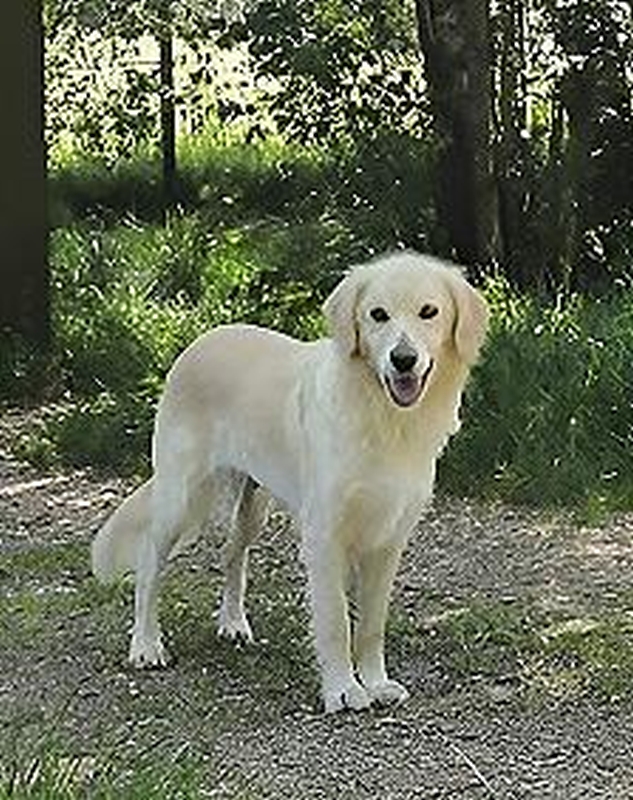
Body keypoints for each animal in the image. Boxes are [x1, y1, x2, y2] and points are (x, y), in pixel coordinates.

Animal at [92, 250, 488, 712]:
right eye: (378, 315)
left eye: (429, 312)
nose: (403, 359)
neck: (381, 415)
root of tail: (202, 340)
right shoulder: (324, 536)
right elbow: (336, 622)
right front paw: (343, 690)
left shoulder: (387, 539)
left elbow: (371, 625)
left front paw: (376, 682)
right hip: (179, 496)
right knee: (149, 566)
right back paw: (146, 645)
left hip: (254, 505)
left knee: (231, 553)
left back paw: (233, 624)